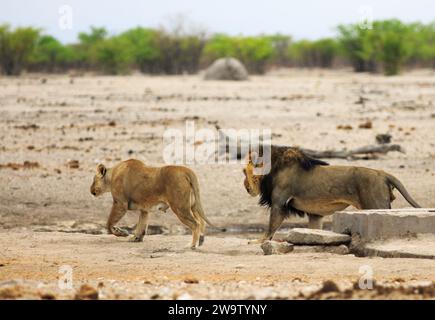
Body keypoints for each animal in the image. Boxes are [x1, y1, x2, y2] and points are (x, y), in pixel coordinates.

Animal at [244, 146, 420, 244]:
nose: (245, 186)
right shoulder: (315, 214)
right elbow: (314, 230)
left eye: (244, 172)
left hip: (376, 204)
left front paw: (258, 240)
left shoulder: (279, 204)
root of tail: (382, 173)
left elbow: (271, 226)